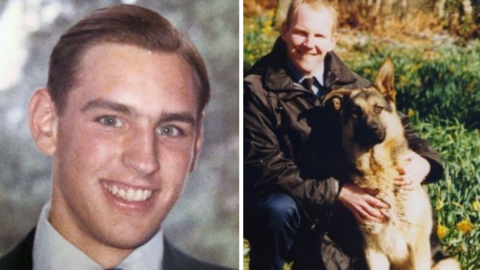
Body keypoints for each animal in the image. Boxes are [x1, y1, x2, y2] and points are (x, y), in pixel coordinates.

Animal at [320, 59, 460, 270]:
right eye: (355, 112)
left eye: (378, 109)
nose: (371, 129)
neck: (378, 169)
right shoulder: (373, 249)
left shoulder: (417, 245)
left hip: (447, 263)